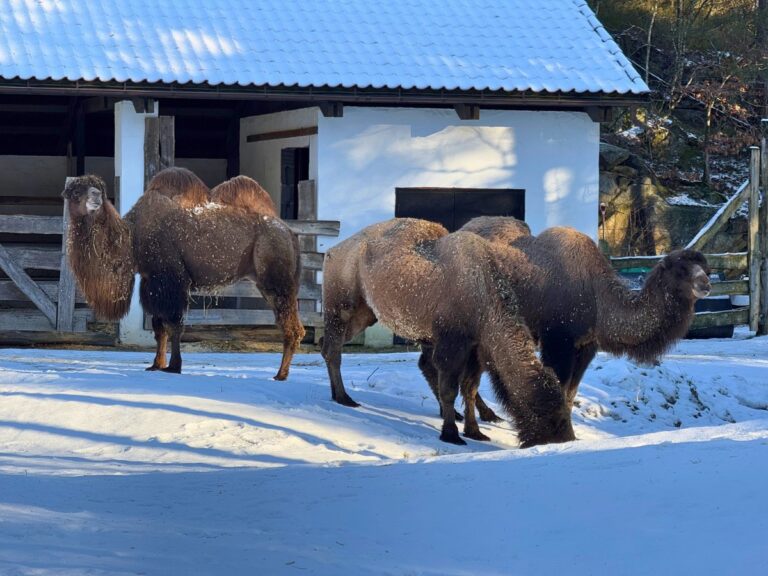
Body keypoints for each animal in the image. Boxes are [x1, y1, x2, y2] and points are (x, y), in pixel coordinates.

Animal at [62, 169, 304, 379]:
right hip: (268, 281)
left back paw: (281, 375)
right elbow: (158, 327)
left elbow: (174, 325)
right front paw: (156, 365)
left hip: (276, 276)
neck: (132, 240)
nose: (95, 198)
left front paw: (174, 367)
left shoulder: (171, 280)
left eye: (100, 191)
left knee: (291, 326)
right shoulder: (152, 282)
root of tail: (289, 232)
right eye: (74, 192)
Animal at [321, 218, 575, 448]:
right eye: (549, 413)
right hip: (341, 306)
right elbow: (450, 389)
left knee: (328, 343)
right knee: (333, 348)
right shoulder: (452, 341)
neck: (484, 297)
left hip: (365, 314)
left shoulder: (474, 349)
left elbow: (470, 389)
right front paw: (451, 434)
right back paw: (344, 398)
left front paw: (474, 432)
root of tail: (332, 251)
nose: (567, 438)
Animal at [419, 216, 712, 415]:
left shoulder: (586, 345)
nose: (706, 284)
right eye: (680, 269)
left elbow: (571, 394)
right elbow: (560, 390)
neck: (596, 295)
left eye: (705, 267)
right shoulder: (558, 340)